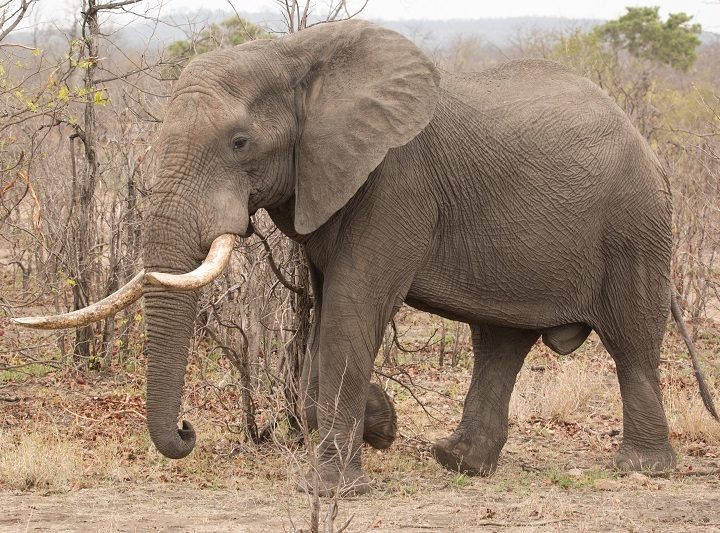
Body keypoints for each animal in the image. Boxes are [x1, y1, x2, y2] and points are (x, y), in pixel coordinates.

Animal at [14, 19, 717, 496]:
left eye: (240, 142)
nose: (187, 432)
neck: (297, 57)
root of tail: (644, 141)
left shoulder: (395, 181)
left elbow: (355, 306)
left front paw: (329, 489)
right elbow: (329, 308)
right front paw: (380, 426)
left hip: (635, 224)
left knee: (630, 342)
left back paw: (641, 469)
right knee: (500, 340)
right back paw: (457, 461)